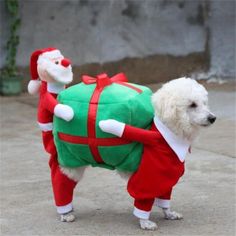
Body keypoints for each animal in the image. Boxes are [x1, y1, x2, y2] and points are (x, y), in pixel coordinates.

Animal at [60, 77, 216, 229]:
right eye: (192, 105)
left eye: (204, 103)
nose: (212, 118)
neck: (165, 135)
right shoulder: (147, 178)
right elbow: (143, 199)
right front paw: (144, 222)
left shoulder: (167, 175)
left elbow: (165, 196)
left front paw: (168, 213)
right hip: (70, 161)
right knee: (61, 180)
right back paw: (65, 212)